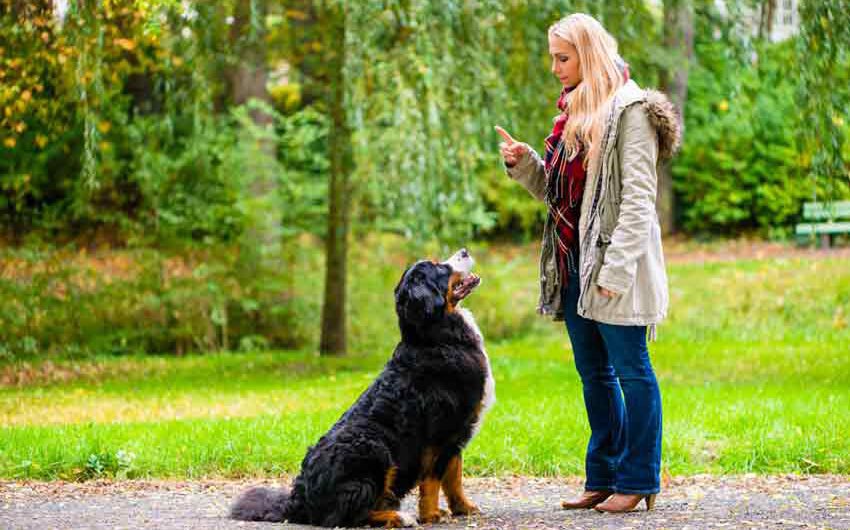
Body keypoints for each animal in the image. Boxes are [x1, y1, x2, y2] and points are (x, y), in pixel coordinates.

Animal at [230, 250, 496, 524]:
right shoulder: (440, 433)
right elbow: (433, 480)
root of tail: (299, 499)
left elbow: (454, 477)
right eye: (440, 267)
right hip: (374, 449)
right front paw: (431, 514)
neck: (435, 338)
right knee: (349, 515)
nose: (464, 251)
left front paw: (463, 508)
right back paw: (398, 517)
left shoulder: (458, 433)